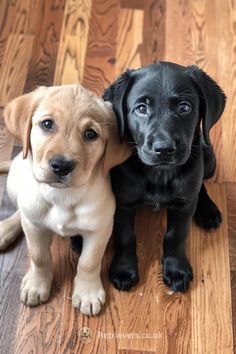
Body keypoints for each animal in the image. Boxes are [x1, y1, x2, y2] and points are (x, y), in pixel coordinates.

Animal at [0, 85, 131, 316]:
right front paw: (37, 284)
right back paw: (6, 227)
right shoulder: (34, 227)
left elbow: (89, 261)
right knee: (20, 210)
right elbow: (38, 256)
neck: (62, 196)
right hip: (16, 182)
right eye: (47, 124)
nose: (61, 166)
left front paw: (87, 293)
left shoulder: (100, 229)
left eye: (90, 134)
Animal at [71, 61, 225, 294]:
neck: (159, 174)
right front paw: (124, 270)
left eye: (184, 107)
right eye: (141, 108)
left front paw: (176, 269)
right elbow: (125, 236)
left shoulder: (184, 206)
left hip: (208, 158)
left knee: (200, 187)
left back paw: (207, 209)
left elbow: (176, 235)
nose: (164, 149)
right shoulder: (122, 203)